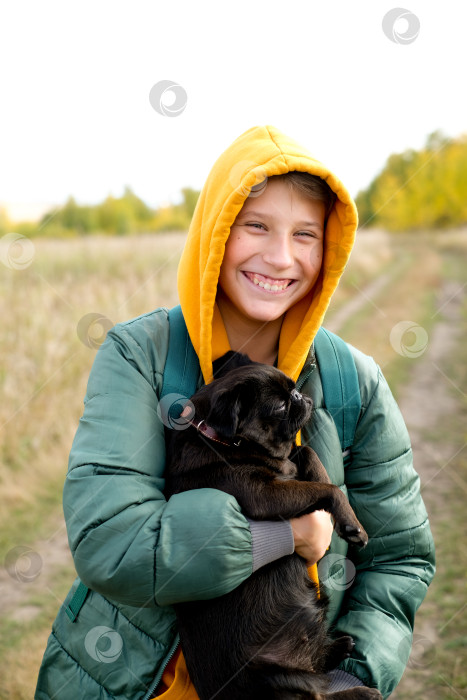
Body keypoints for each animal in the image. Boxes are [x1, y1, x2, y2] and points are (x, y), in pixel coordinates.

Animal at [165, 352, 384, 700]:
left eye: (293, 389)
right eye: (280, 407)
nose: (299, 396)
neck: (226, 443)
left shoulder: (289, 467)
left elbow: (307, 453)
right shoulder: (263, 495)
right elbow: (328, 490)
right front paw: (351, 524)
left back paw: (338, 648)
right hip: (280, 683)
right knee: (320, 695)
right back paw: (361, 693)